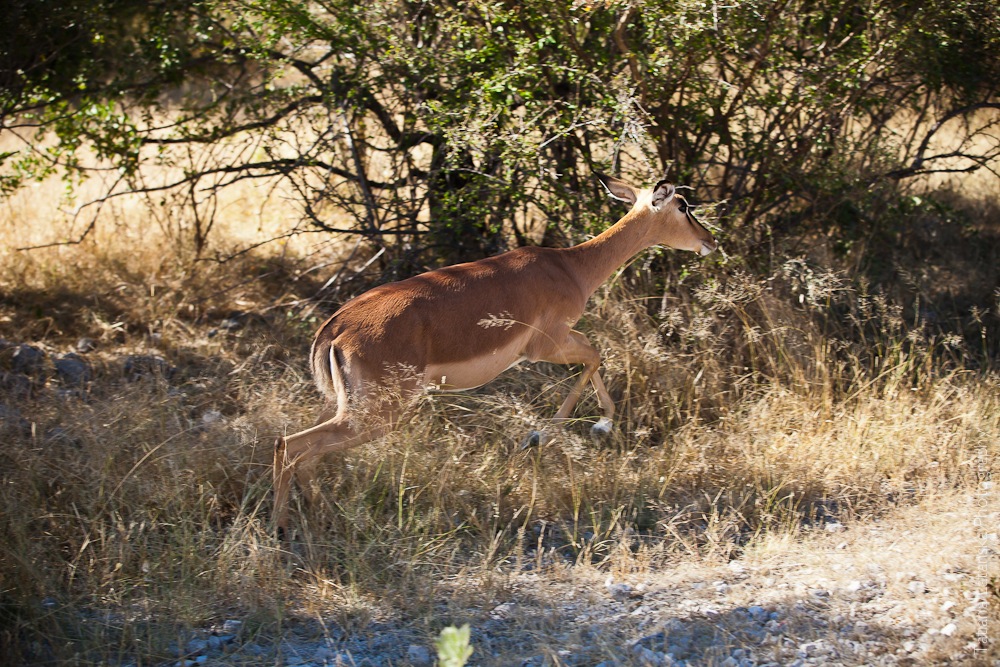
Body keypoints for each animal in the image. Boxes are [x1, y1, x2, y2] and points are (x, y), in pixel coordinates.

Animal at [270, 174, 716, 536]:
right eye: (683, 205)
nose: (710, 240)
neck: (571, 267)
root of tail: (335, 329)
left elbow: (595, 357)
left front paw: (583, 427)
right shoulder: (547, 345)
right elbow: (596, 354)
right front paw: (553, 434)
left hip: (345, 404)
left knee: (299, 450)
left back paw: (318, 518)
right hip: (378, 412)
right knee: (289, 445)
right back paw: (282, 530)